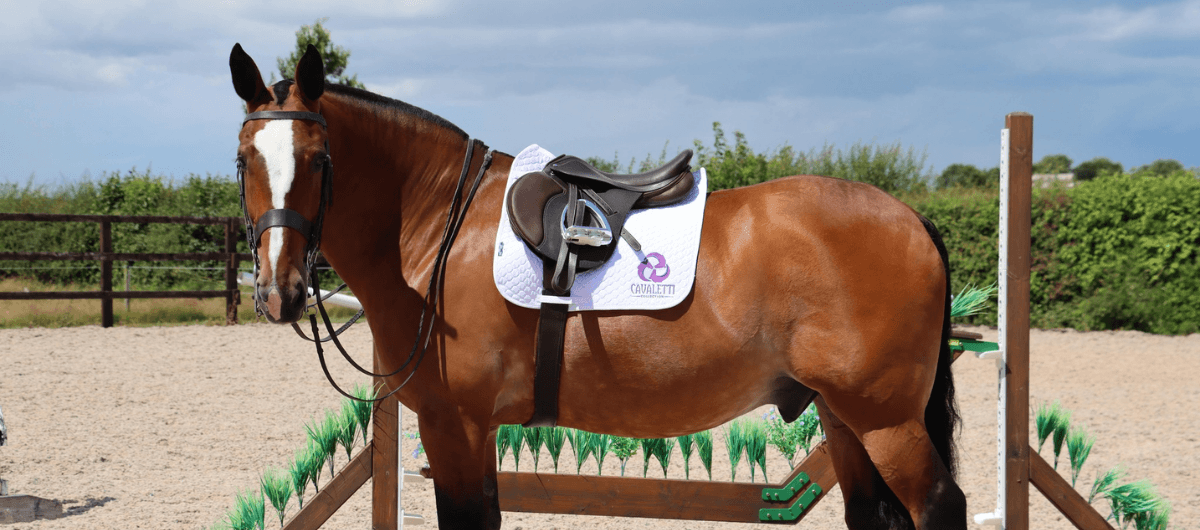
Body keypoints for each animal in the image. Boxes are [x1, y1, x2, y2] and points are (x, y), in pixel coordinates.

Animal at [228, 43, 967, 530]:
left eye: (318, 160)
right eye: (243, 159)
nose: (277, 291)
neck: (438, 225)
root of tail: (910, 218)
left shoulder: (454, 426)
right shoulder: (473, 433)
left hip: (885, 420)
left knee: (939, 505)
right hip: (842, 416)